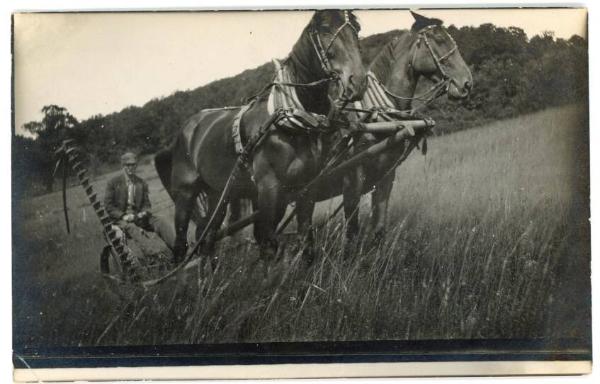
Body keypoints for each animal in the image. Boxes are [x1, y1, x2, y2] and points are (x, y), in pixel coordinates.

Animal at [155, 10, 366, 266]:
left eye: (356, 28)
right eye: (325, 29)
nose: (358, 81)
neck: (293, 119)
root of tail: (186, 129)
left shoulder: (306, 186)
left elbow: (306, 240)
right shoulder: (268, 188)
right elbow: (267, 244)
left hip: (219, 194)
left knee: (207, 236)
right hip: (185, 193)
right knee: (181, 243)